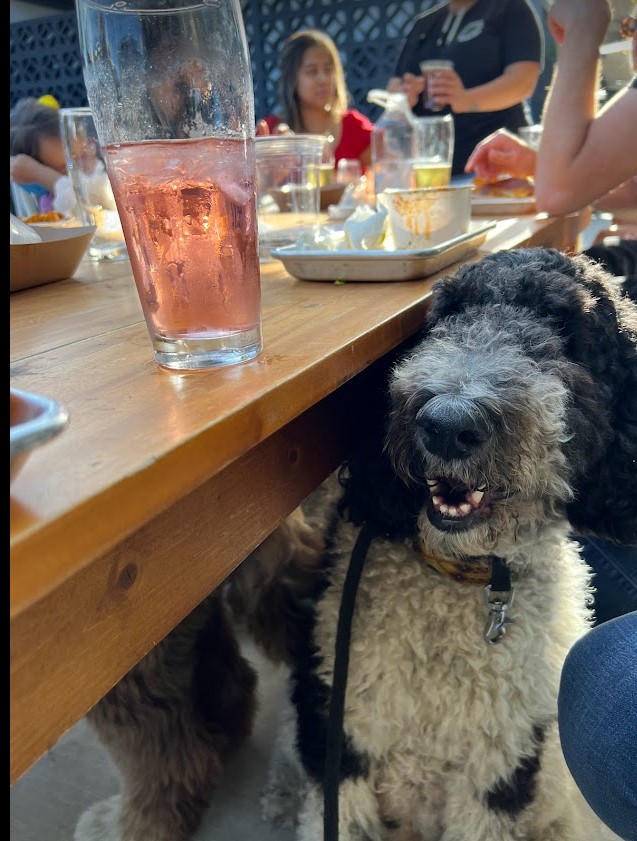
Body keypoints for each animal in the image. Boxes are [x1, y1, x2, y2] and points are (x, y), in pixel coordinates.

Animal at [255, 248, 636, 840]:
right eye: (445, 317)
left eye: (568, 332)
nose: (447, 423)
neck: (463, 579)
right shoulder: (340, 737)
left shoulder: (500, 771)